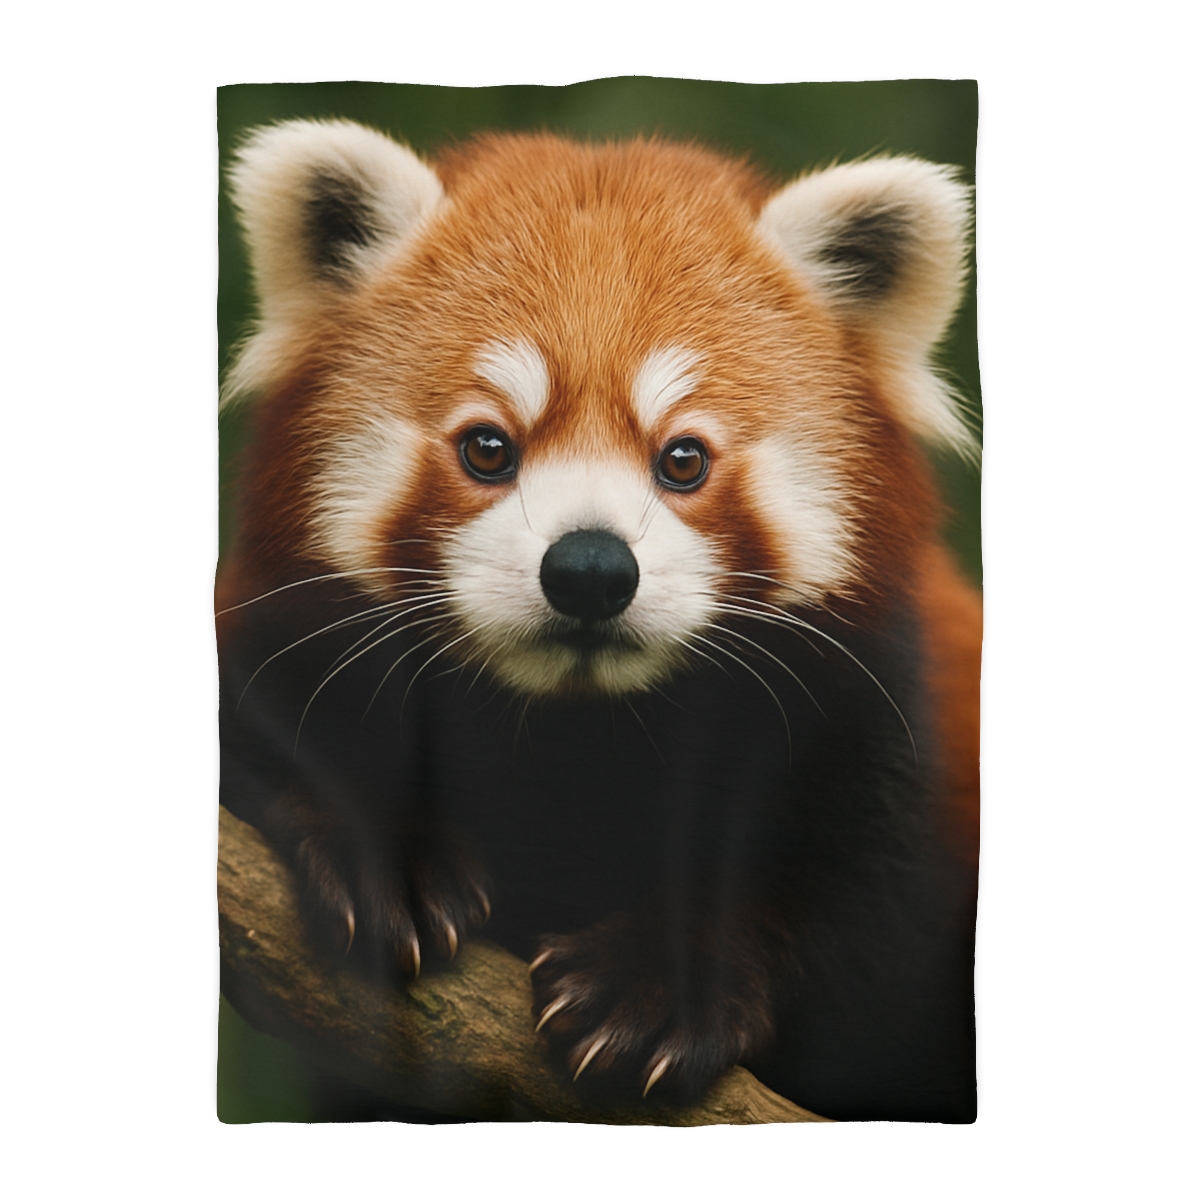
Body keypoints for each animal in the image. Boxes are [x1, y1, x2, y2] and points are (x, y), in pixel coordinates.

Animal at [217, 119, 981, 1122]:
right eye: (488, 447)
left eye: (684, 459)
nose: (588, 569)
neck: (573, 733)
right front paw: (385, 848)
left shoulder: (880, 722)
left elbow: (845, 894)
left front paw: (664, 985)